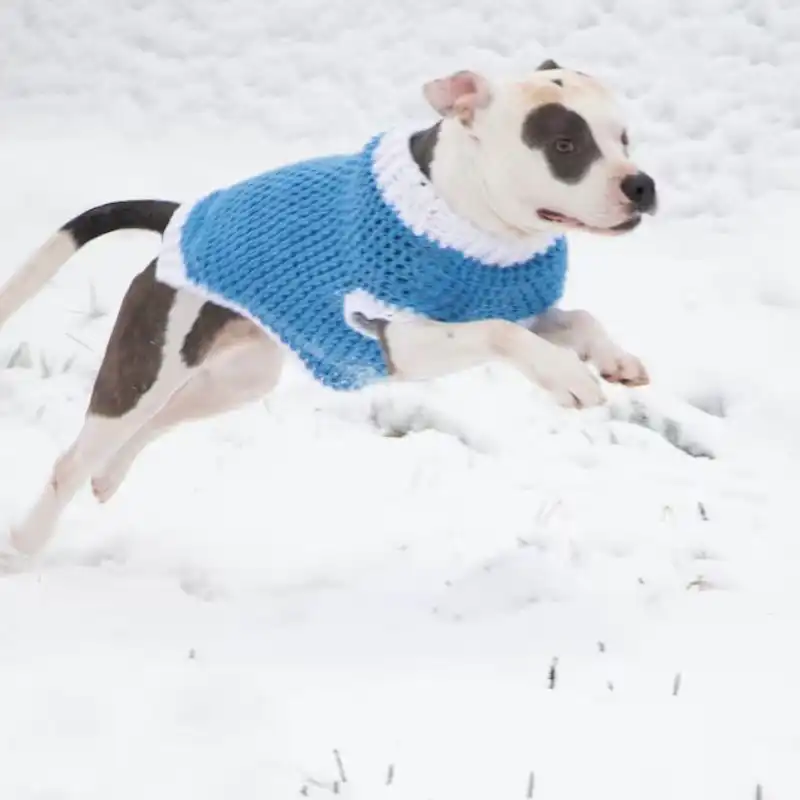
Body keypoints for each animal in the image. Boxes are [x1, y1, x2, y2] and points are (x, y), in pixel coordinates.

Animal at [0, 61, 656, 556]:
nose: (642, 185)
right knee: (74, 458)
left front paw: (613, 359)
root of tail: (180, 216)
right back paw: (26, 548)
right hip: (144, 369)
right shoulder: (405, 339)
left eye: (624, 137)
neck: (471, 219)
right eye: (565, 144)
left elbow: (576, 320)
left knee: (161, 419)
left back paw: (108, 476)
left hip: (240, 377)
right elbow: (501, 333)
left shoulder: (525, 306)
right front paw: (568, 376)